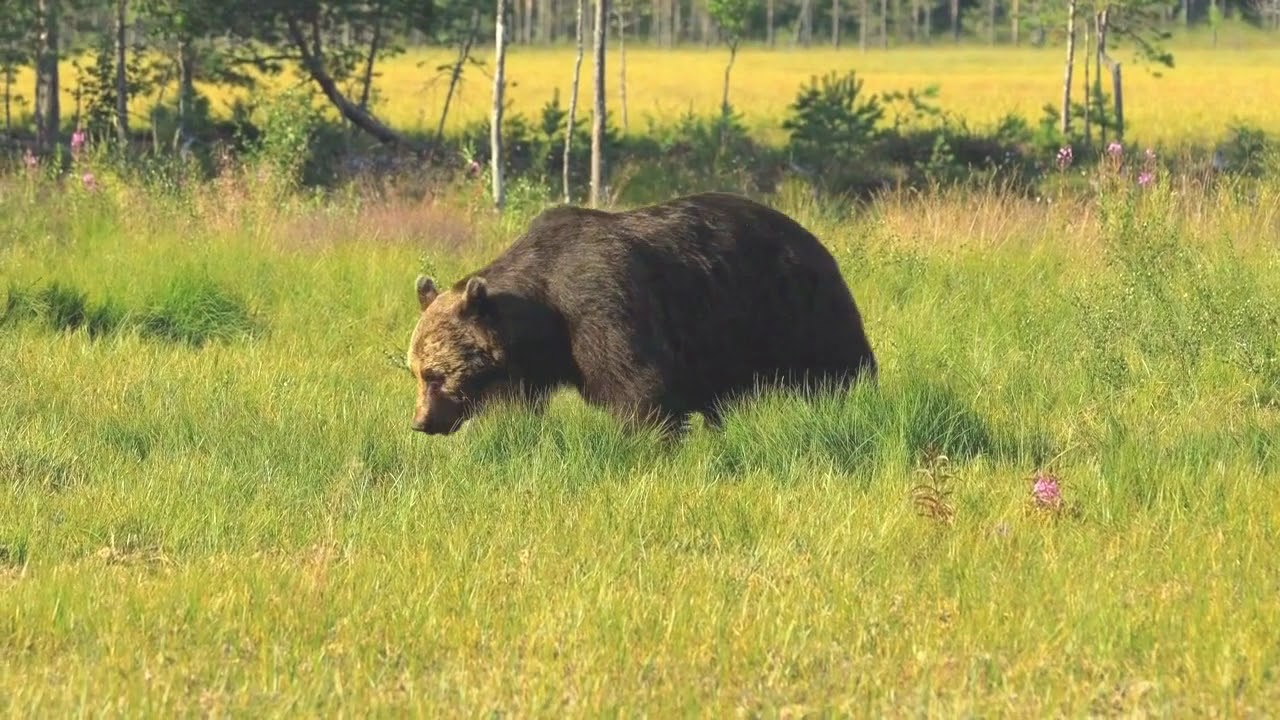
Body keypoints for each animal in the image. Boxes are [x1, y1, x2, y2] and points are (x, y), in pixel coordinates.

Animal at [405, 191, 876, 436]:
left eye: (434, 373)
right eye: (416, 372)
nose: (423, 422)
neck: (544, 316)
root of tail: (809, 235)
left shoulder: (601, 306)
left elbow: (638, 387)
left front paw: (646, 439)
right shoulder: (529, 363)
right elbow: (515, 404)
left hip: (793, 308)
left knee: (837, 365)